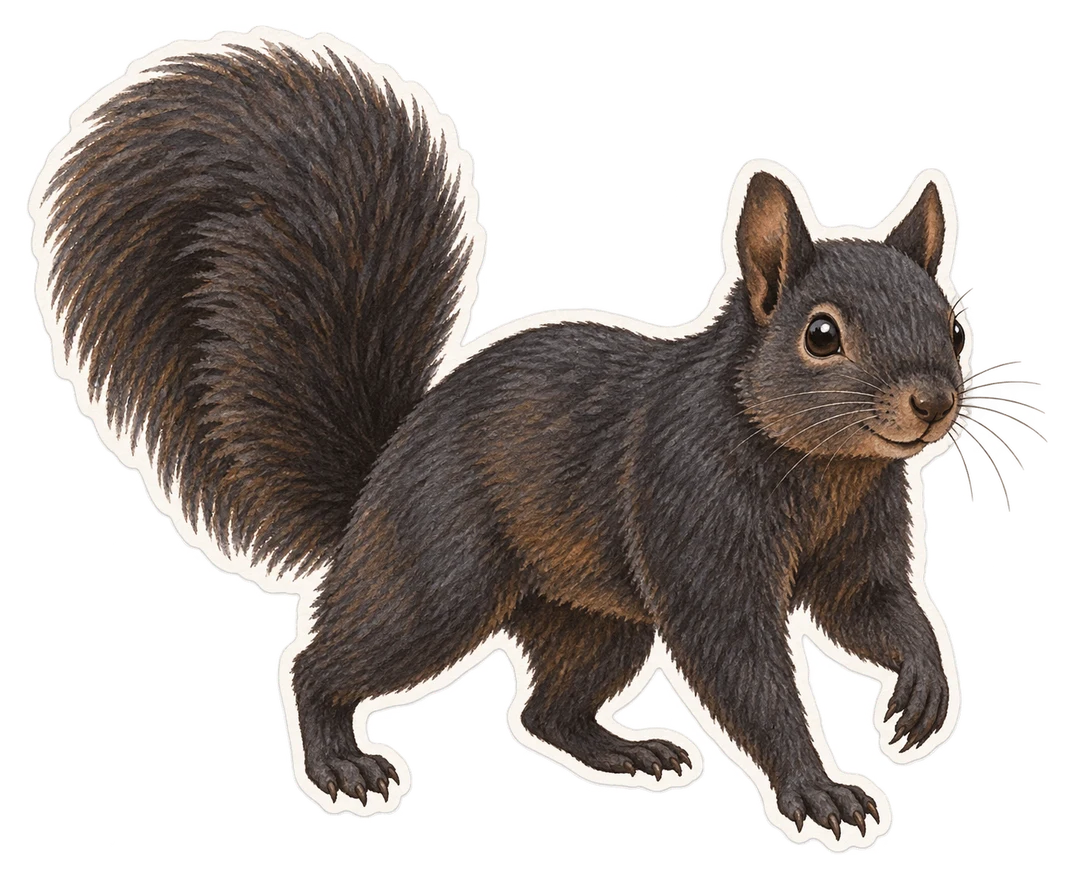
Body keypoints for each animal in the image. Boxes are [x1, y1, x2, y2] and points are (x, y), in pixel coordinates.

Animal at [41, 43, 963, 838]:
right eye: (820, 334)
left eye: (954, 326)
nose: (935, 401)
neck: (824, 469)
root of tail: (379, 476)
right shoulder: (690, 503)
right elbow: (739, 658)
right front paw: (813, 783)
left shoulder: (860, 534)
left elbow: (869, 607)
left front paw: (926, 680)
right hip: (438, 574)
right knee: (326, 661)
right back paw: (339, 759)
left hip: (592, 615)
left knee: (545, 709)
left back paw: (625, 750)